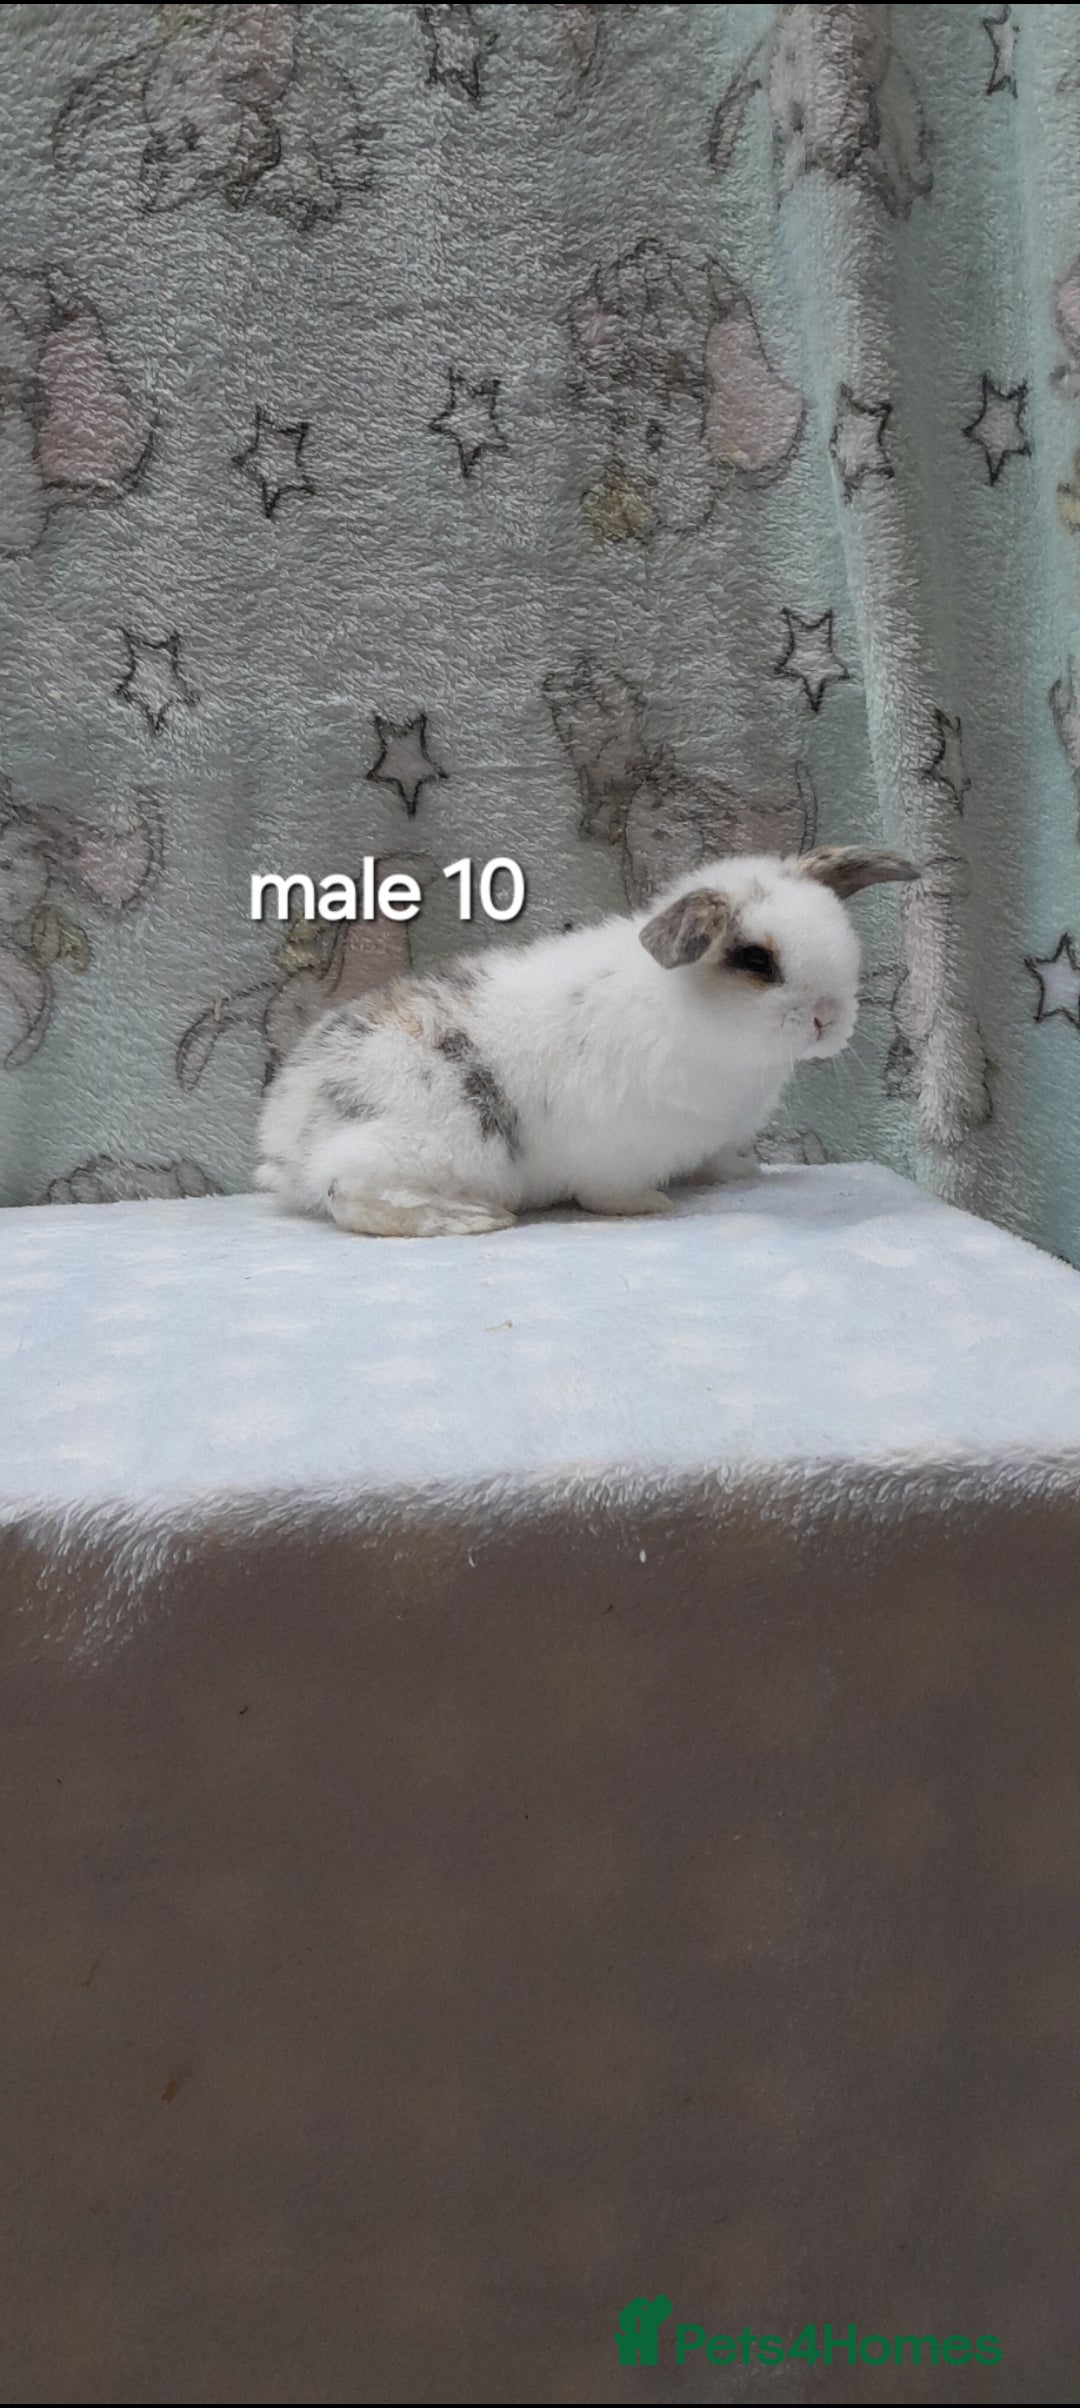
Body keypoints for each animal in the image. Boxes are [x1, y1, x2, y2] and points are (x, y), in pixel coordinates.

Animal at [256, 845, 919, 1239]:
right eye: (756, 960)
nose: (828, 1019)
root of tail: (289, 1130)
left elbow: (718, 1160)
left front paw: (738, 1171)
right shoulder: (619, 1149)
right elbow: (609, 1194)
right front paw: (651, 1206)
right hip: (431, 1146)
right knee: (347, 1192)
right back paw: (471, 1218)